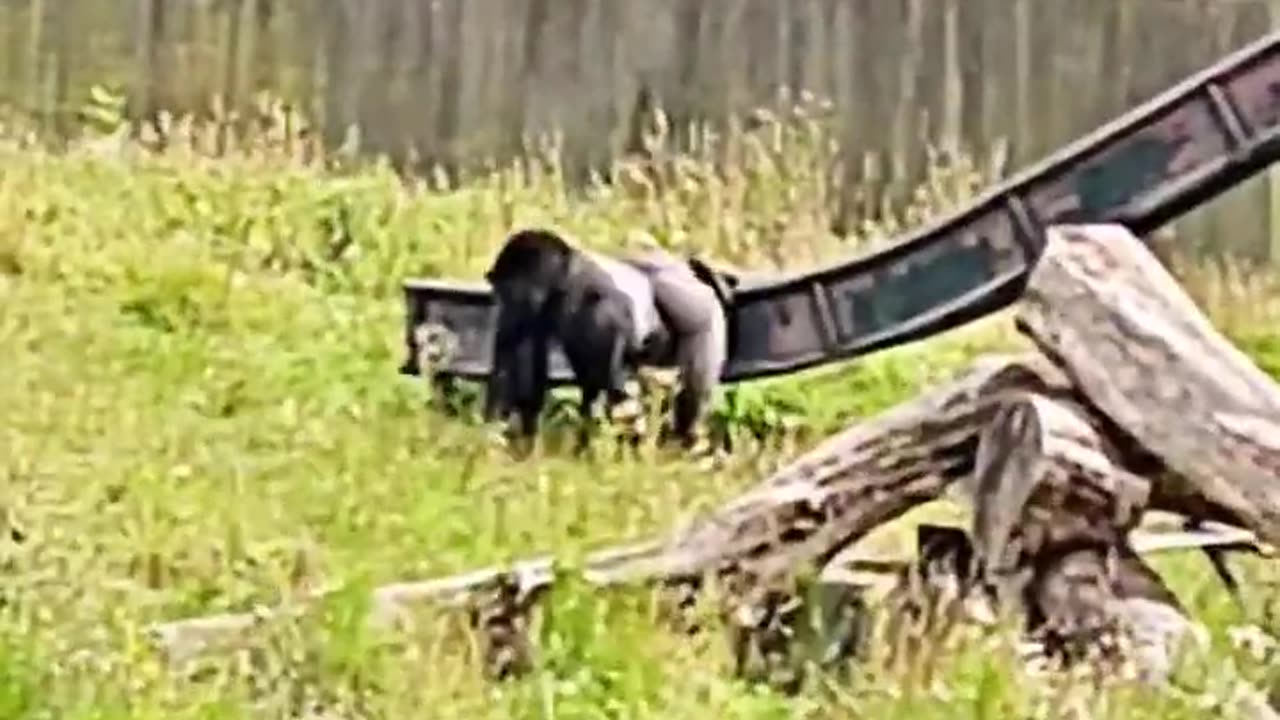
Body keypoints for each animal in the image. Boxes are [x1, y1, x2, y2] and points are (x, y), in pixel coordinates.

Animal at [483, 226, 737, 445]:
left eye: (509, 286)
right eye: (502, 289)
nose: (501, 301)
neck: (564, 276)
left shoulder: (598, 308)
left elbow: (609, 389)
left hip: (701, 315)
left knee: (691, 392)